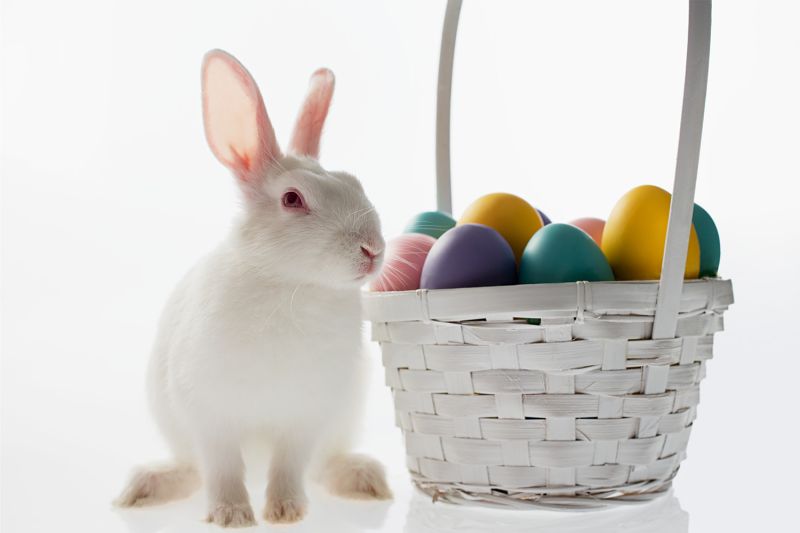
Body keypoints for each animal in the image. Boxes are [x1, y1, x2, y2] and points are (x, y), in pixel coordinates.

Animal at [115, 50, 390, 524]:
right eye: (293, 199)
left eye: (355, 183)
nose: (372, 248)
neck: (291, 284)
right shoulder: (210, 411)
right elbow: (223, 466)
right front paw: (231, 515)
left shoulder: (306, 413)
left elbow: (290, 465)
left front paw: (285, 511)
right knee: (193, 469)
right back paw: (145, 487)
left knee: (322, 465)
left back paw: (363, 479)